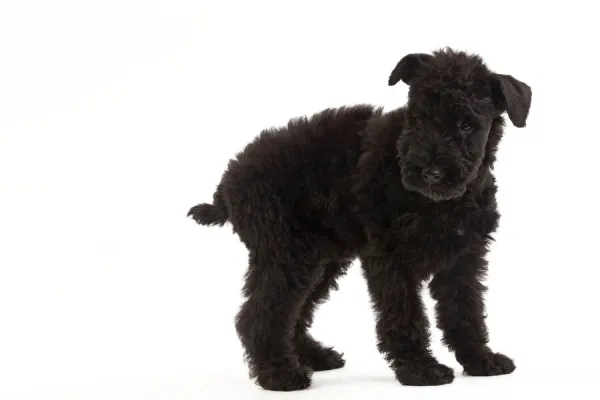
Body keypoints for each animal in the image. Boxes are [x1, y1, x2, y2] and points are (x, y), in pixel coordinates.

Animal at [190, 47, 532, 390]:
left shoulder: (463, 260)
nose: (430, 173)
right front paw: (419, 368)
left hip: (319, 261)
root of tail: (229, 181)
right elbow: (405, 315)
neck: (442, 203)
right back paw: (280, 373)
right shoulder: (390, 260)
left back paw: (312, 356)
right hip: (287, 257)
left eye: (465, 124)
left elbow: (466, 312)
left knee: (294, 312)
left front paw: (480, 359)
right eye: (418, 118)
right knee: (260, 316)